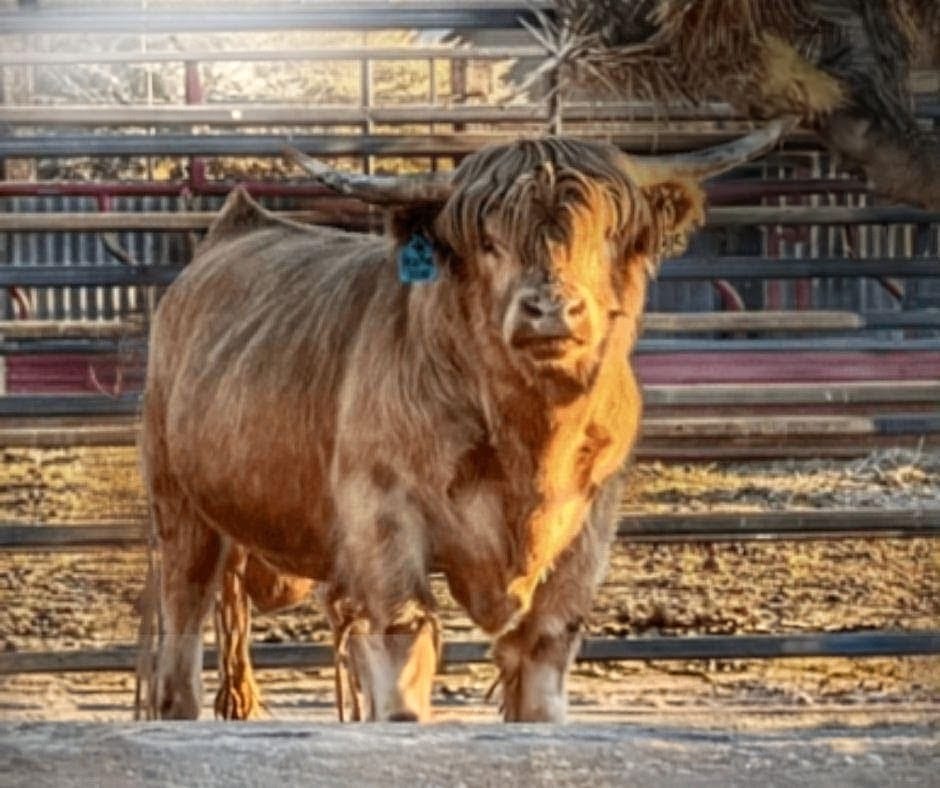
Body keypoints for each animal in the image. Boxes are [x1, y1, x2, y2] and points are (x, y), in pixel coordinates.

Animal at [138, 122, 785, 722]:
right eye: (489, 241)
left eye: (605, 234)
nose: (551, 309)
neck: (530, 442)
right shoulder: (384, 523)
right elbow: (404, 652)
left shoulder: (587, 532)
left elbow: (540, 673)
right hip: (181, 513)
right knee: (181, 647)